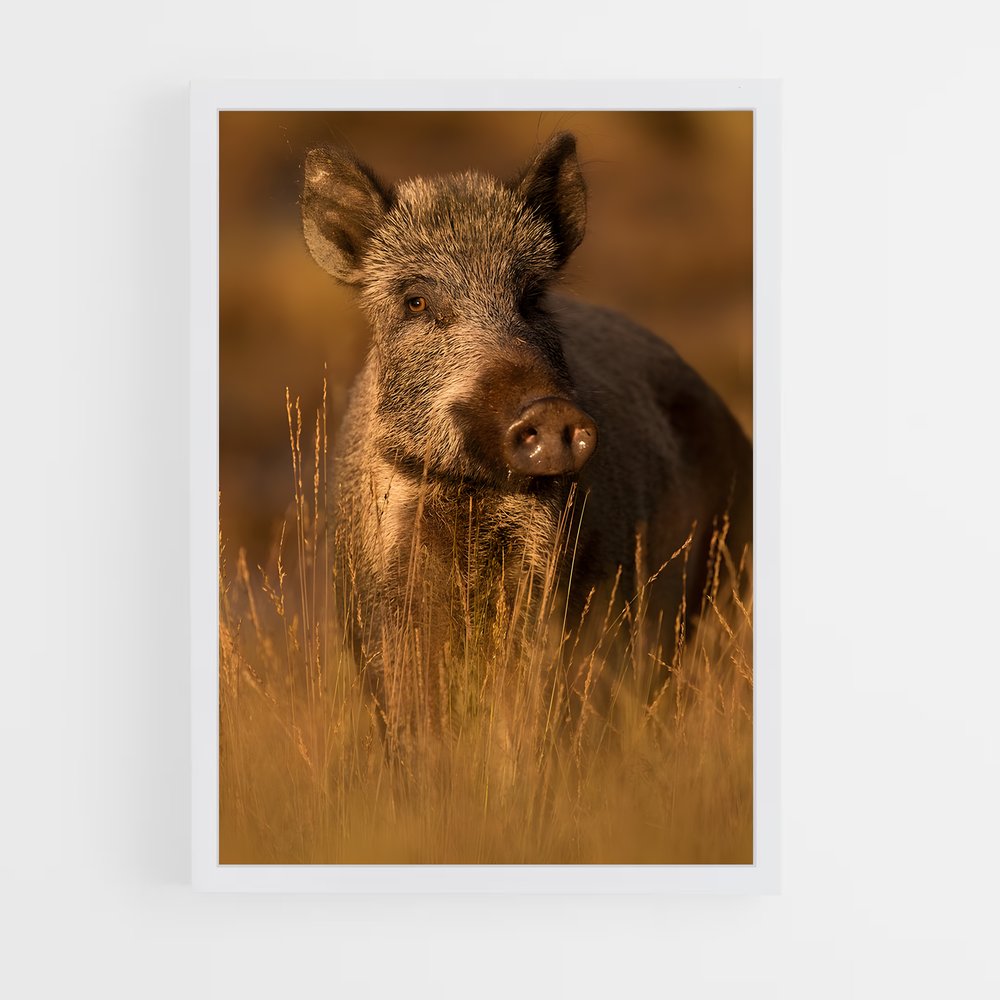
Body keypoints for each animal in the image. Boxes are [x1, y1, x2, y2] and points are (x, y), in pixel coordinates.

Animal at [300, 132, 751, 732]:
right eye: (416, 301)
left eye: (531, 297)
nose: (549, 409)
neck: (470, 496)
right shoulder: (383, 589)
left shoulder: (550, 584)